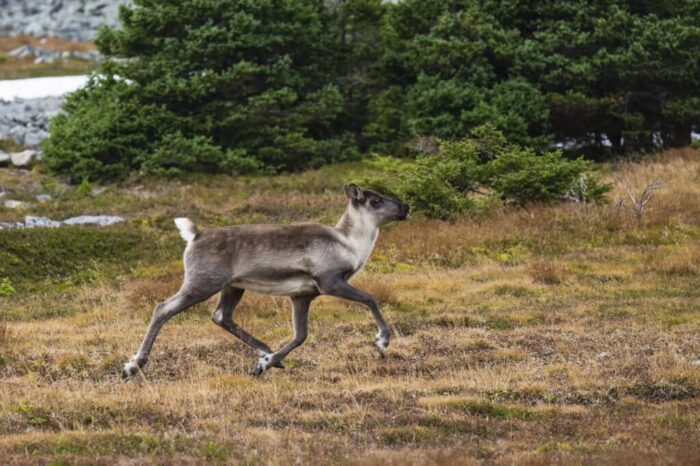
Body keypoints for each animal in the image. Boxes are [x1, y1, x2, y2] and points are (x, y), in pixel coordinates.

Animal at [122, 184, 410, 379]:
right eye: (375, 200)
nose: (406, 207)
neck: (349, 243)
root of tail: (194, 236)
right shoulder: (330, 282)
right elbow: (370, 298)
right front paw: (382, 341)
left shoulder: (302, 295)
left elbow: (300, 335)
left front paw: (265, 363)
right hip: (201, 283)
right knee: (163, 308)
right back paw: (132, 366)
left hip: (233, 287)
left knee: (221, 316)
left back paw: (265, 352)